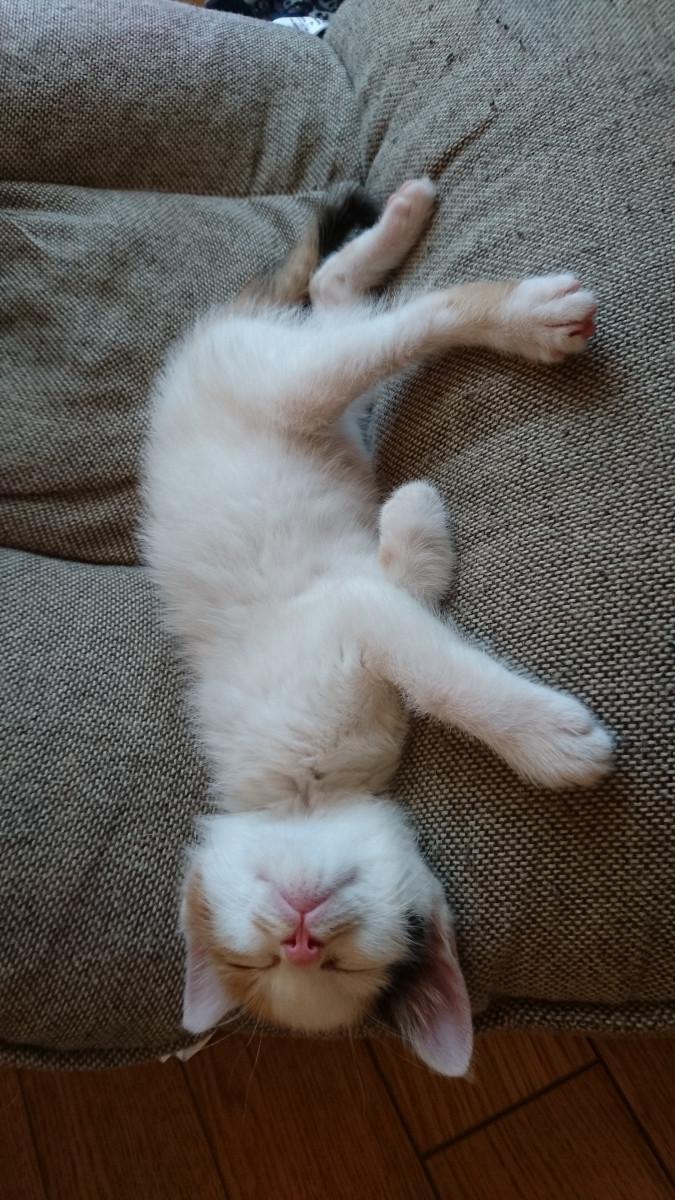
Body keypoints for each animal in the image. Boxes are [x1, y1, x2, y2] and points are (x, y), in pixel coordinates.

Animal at [142, 178, 612, 1076]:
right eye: (268, 963)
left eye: (328, 959)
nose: (296, 935)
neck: (302, 793)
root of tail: (198, 345)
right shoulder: (365, 605)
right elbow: (411, 590)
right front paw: (417, 522)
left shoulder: (348, 622)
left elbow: (444, 677)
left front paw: (546, 742)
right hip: (328, 406)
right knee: (334, 302)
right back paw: (395, 229)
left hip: (290, 387)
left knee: (398, 324)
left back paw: (520, 312)